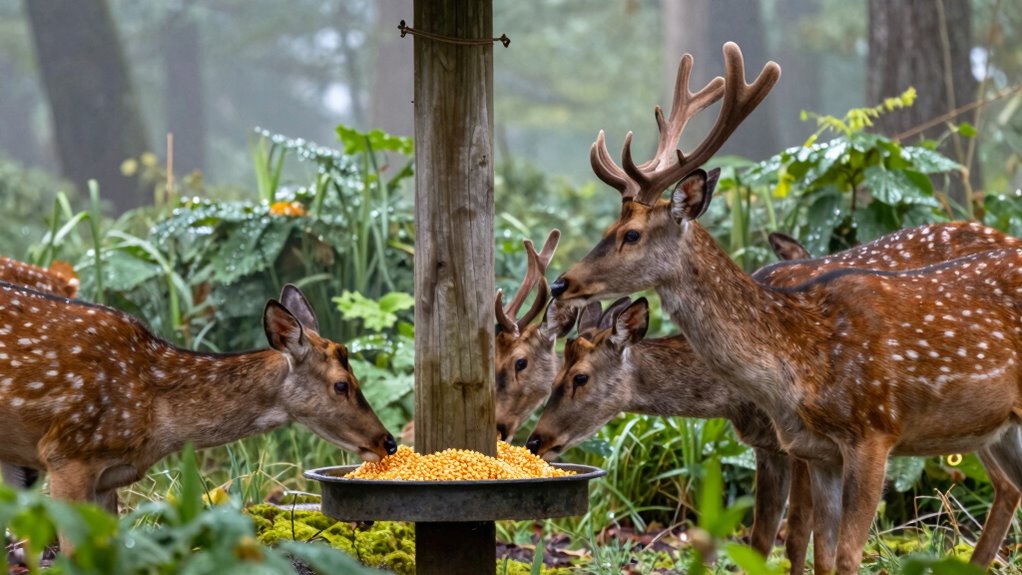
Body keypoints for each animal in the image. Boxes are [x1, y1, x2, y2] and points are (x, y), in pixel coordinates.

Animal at [548, 42, 1022, 573]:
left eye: (630, 234)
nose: (560, 283)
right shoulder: (795, 447)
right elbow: (784, 544)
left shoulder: (860, 437)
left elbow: (814, 546)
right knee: (1011, 487)